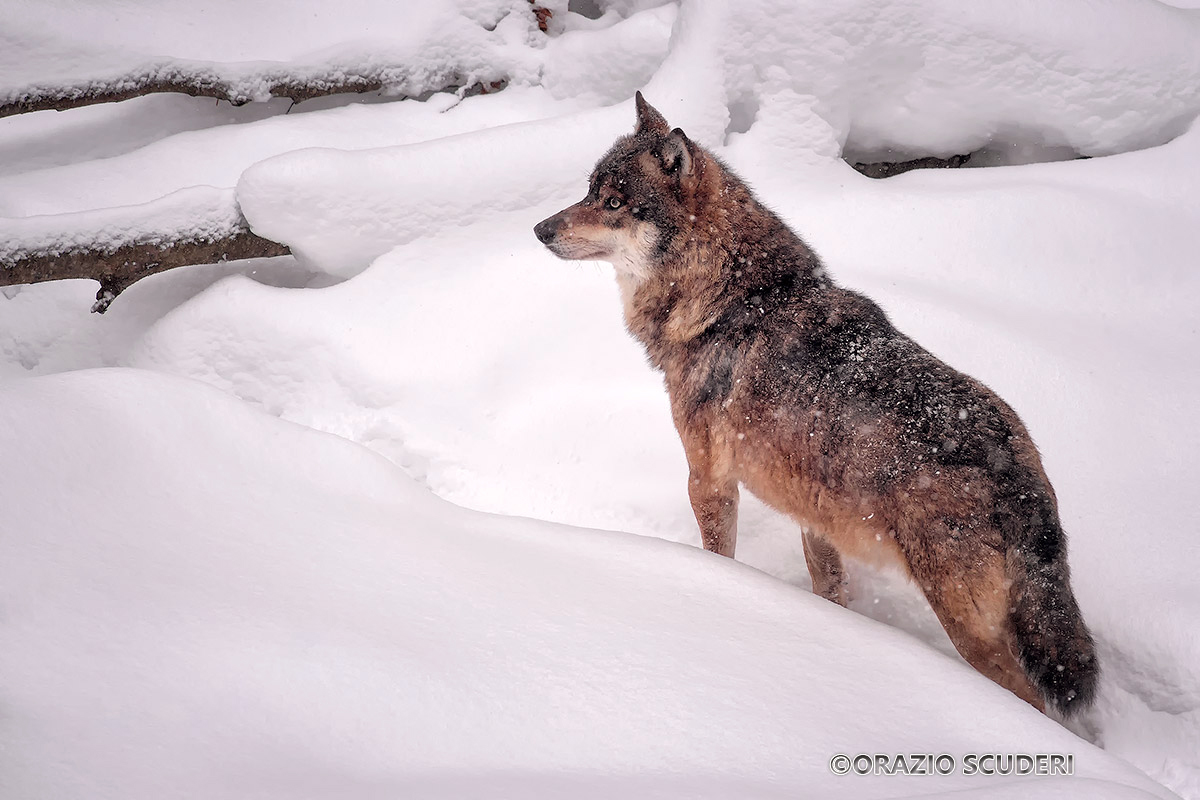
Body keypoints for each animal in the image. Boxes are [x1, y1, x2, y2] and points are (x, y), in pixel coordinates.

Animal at [534, 93, 1099, 716]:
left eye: (614, 202)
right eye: (589, 190)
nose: (538, 229)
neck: (730, 298)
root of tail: (1015, 466)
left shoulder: (707, 479)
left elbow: (718, 557)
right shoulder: (815, 515)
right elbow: (829, 590)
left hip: (968, 627)